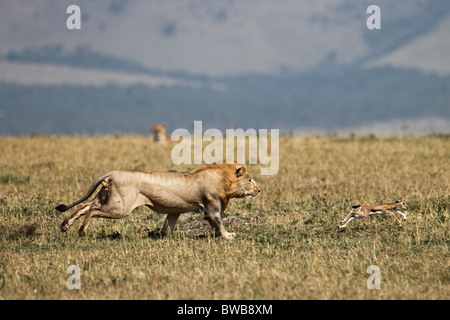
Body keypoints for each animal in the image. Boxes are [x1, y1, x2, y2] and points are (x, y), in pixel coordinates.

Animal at [55, 162, 260, 240]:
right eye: (250, 180)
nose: (259, 190)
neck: (225, 181)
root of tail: (112, 173)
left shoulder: (174, 211)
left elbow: (167, 226)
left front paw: (162, 237)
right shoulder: (211, 208)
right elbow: (218, 223)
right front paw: (228, 236)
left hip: (107, 197)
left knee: (85, 205)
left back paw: (65, 225)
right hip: (120, 207)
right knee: (92, 210)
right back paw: (81, 230)